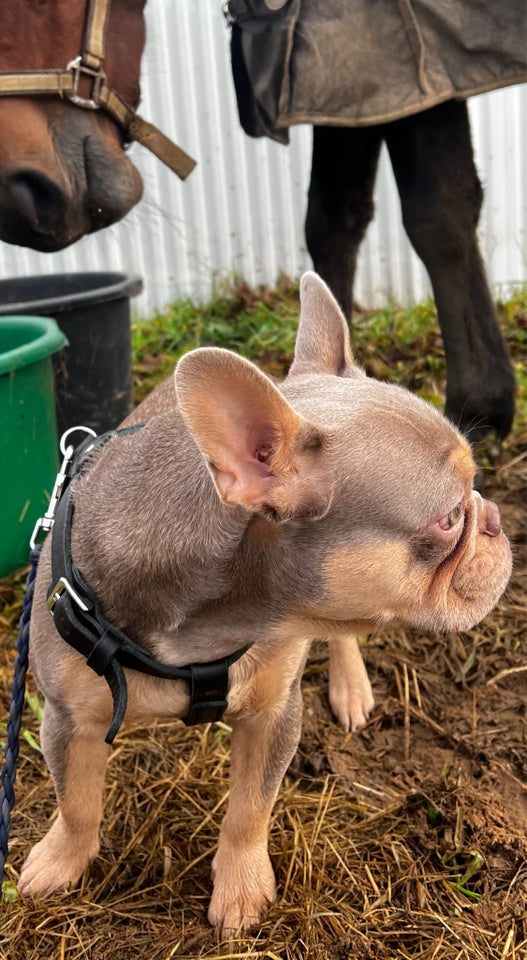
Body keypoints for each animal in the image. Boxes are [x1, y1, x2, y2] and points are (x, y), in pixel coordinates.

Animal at [19, 274, 512, 932]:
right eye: (451, 517)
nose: (494, 518)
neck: (209, 627)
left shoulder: (274, 713)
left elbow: (250, 809)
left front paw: (241, 888)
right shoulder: (67, 720)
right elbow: (76, 802)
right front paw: (60, 862)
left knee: (341, 634)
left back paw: (350, 688)